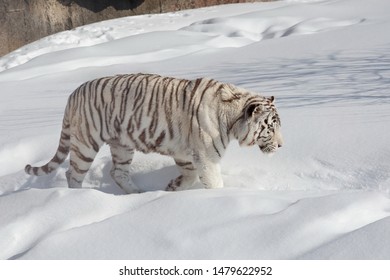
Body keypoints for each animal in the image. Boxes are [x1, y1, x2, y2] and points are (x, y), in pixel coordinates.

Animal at [25, 73, 284, 194]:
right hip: (86, 144)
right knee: (73, 174)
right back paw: (81, 197)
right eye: (271, 127)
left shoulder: (186, 153)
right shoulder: (207, 156)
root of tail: (72, 94)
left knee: (117, 172)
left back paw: (138, 194)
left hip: (122, 145)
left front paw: (172, 187)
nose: (281, 146)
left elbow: (190, 175)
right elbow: (213, 181)